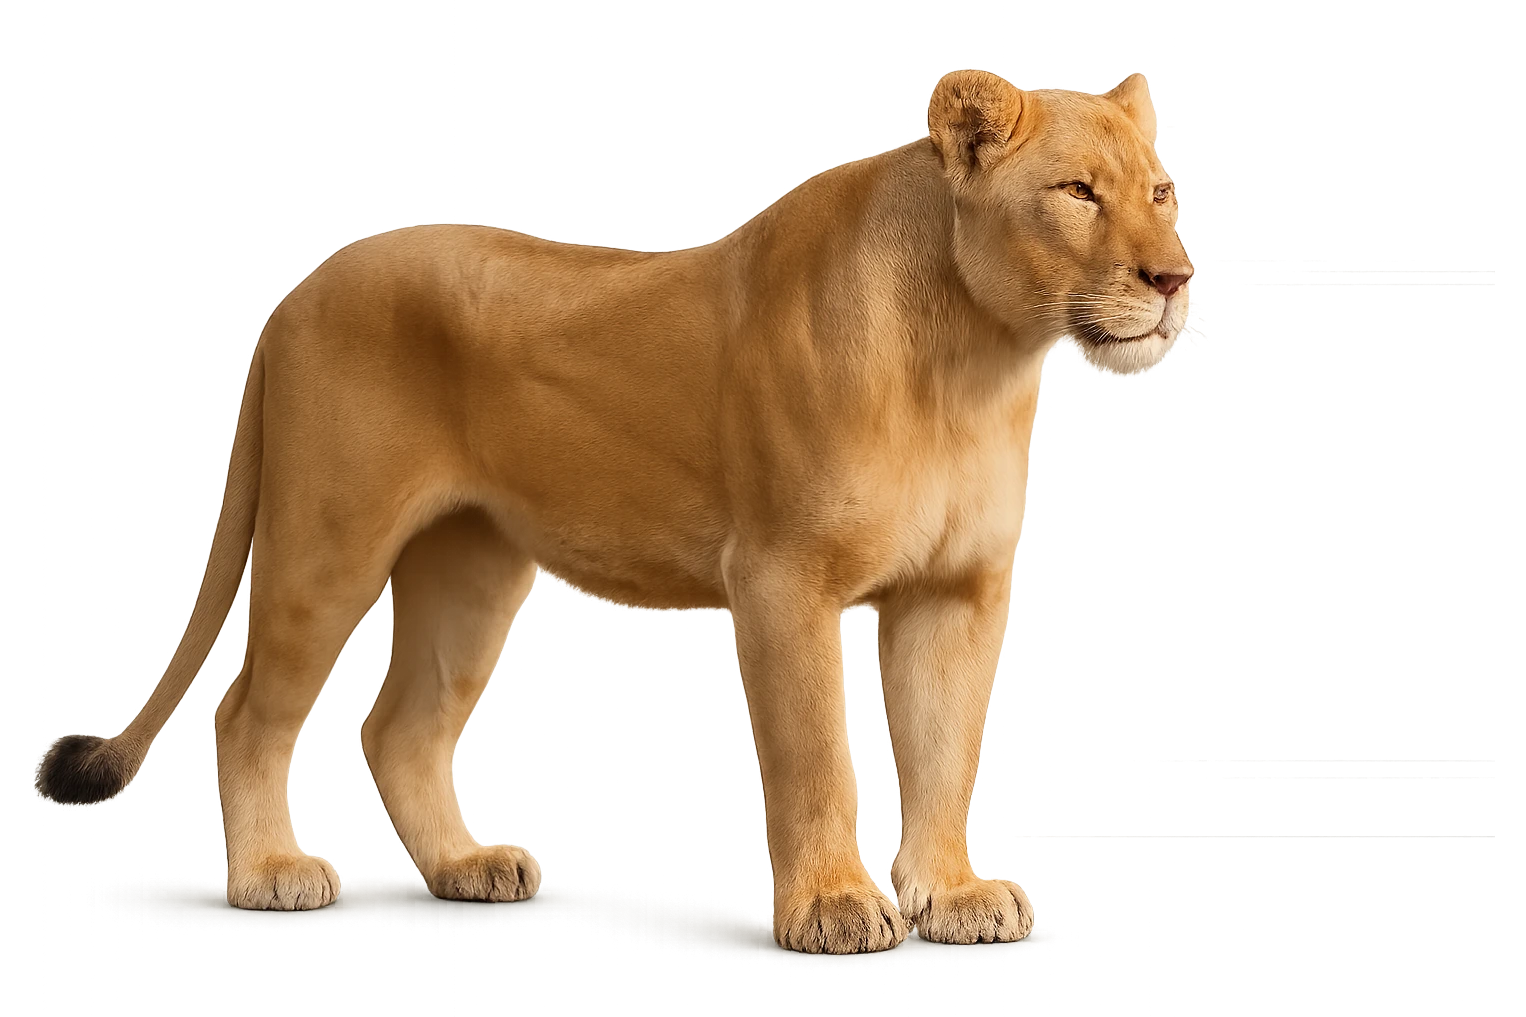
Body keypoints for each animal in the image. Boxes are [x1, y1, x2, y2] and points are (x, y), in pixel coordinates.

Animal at [33, 68, 1194, 954]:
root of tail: (294, 294)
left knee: (398, 727)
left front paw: (950, 894)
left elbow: (944, 749)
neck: (970, 359)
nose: (1176, 278)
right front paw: (831, 907)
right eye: (1077, 192)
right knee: (247, 712)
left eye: (1161, 188)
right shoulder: (782, 576)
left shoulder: (955, 587)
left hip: (469, 569)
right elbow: (816, 755)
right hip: (328, 542)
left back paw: (465, 865)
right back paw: (271, 871)